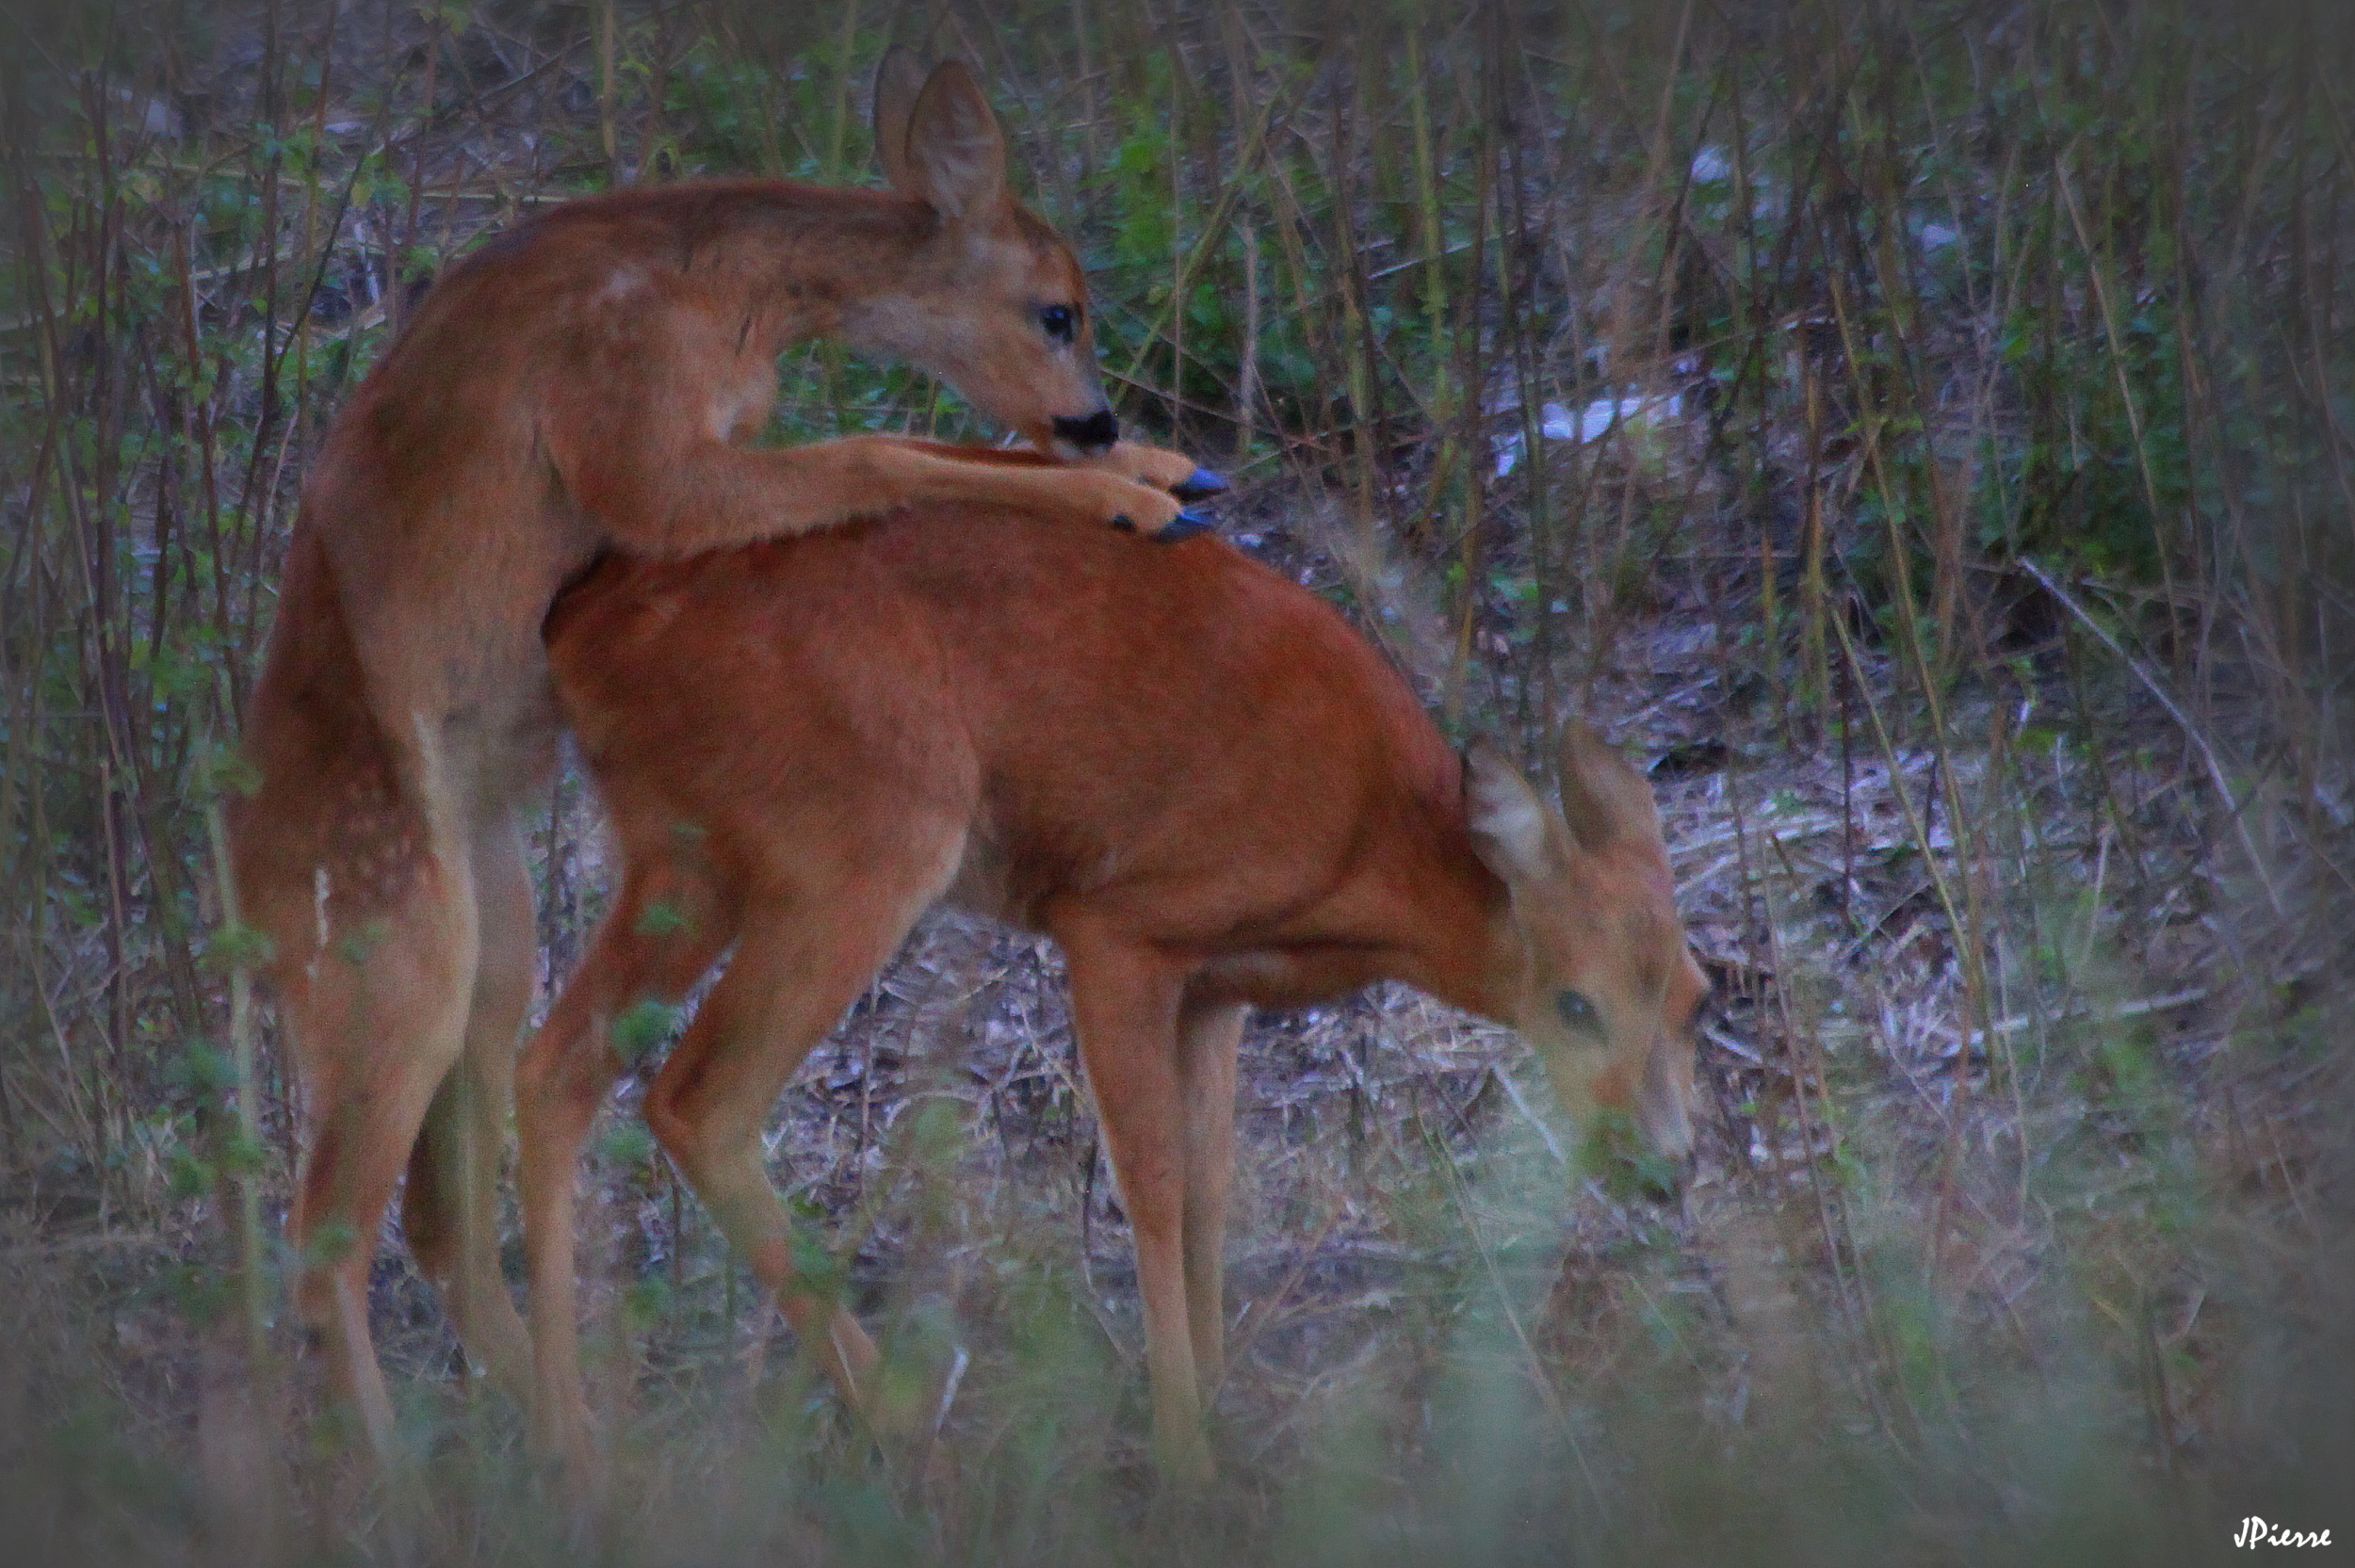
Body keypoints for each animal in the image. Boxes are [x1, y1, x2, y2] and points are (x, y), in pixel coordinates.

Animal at [222, 52, 1225, 1450]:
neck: (723, 291)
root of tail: (240, 896)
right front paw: (1127, 495)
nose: (1094, 418)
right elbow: (879, 447)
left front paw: (1163, 466)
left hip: (491, 937)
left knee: (435, 1217)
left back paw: (576, 1449)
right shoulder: (638, 445)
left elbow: (921, 443)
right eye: (1056, 309)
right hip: (386, 961)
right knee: (325, 1247)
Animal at [525, 501, 1705, 1479]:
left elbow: (1212, 1184)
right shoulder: (1117, 922)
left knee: (552, 1066)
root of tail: (577, 623)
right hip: (858, 838)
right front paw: (1184, 1448)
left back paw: (567, 1439)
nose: (1664, 1165)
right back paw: (899, 1413)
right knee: (695, 1097)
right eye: (1575, 1003)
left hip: (684, 854)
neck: (1367, 845)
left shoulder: (1217, 984)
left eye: (1698, 997)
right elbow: (1150, 1180)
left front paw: (1219, 1398)